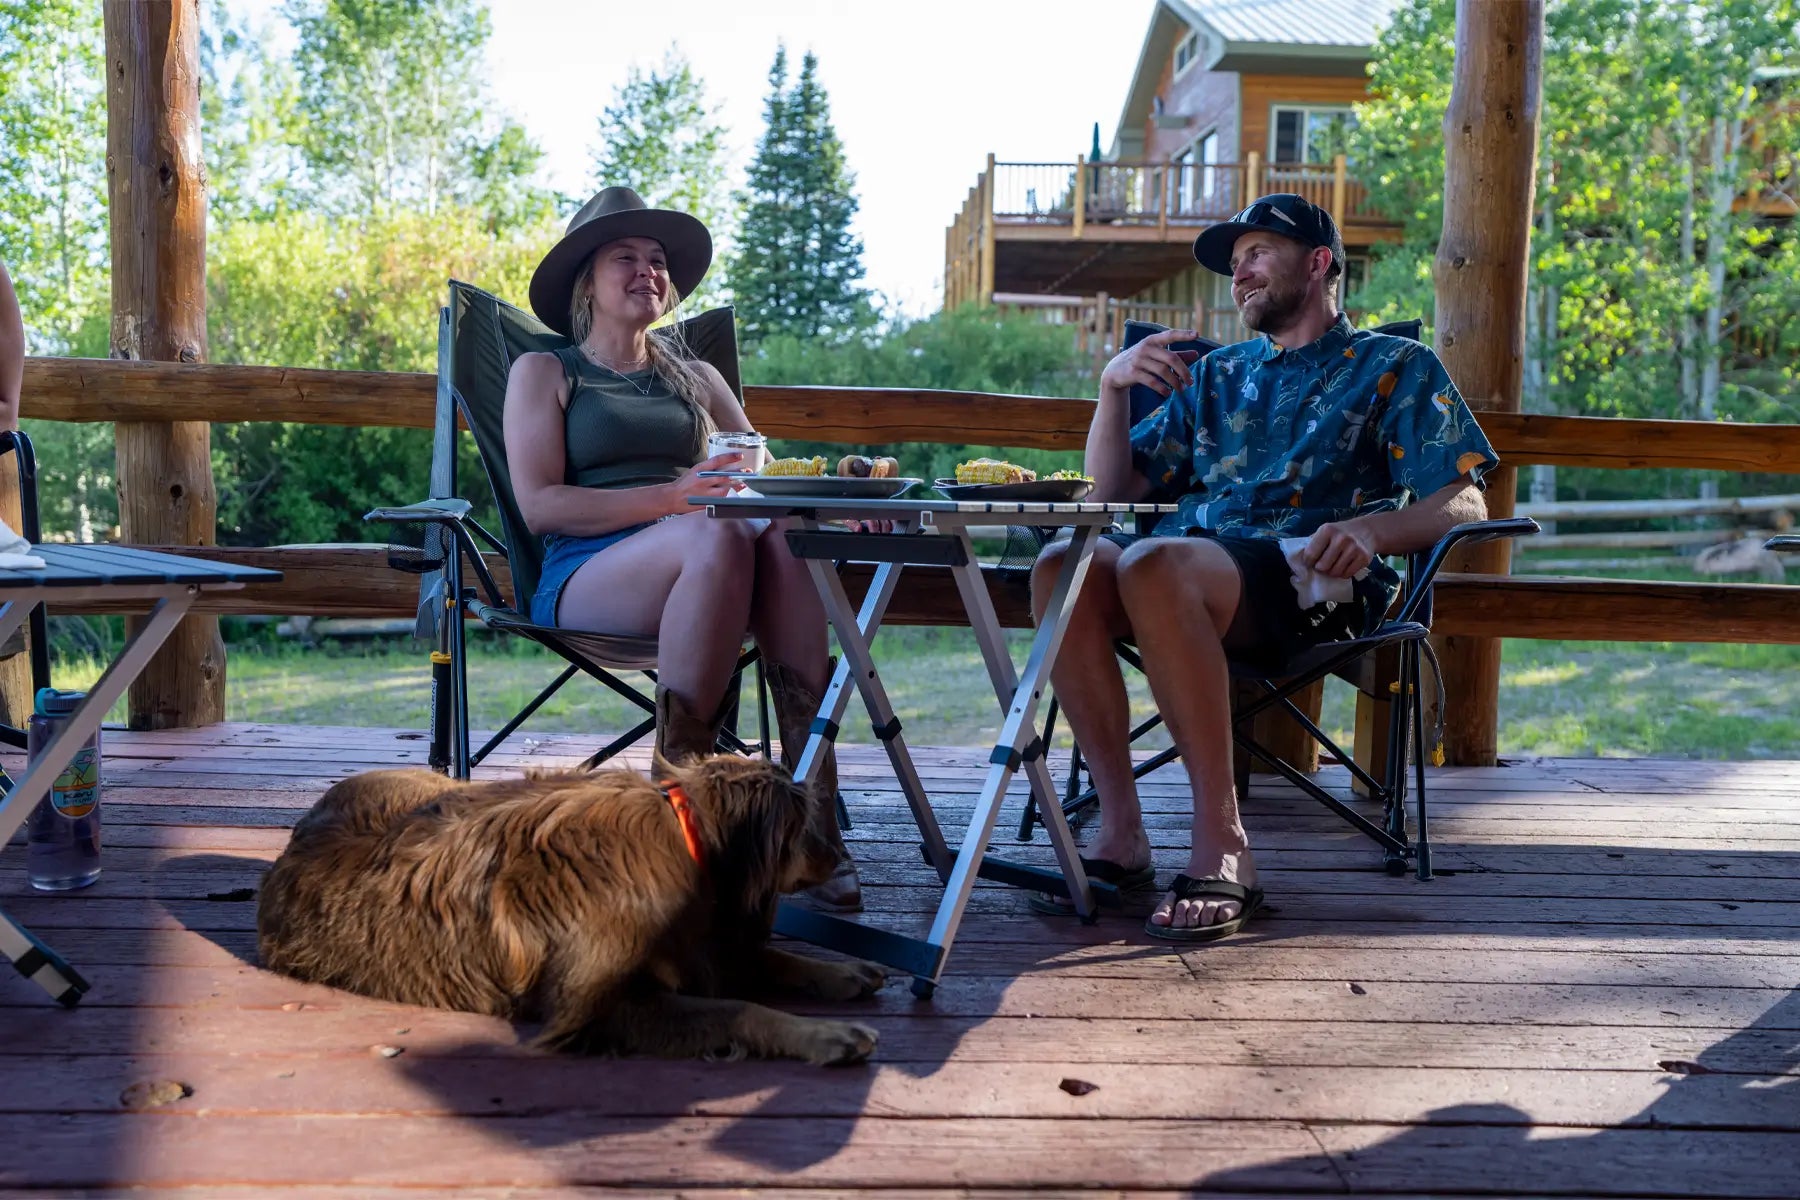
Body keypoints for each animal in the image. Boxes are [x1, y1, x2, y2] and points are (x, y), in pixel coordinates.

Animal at [259, 755, 885, 1065]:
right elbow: (737, 1008)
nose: (838, 857)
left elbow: (765, 959)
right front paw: (824, 1036)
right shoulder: (596, 1008)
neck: (687, 838)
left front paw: (841, 971)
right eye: (803, 824)